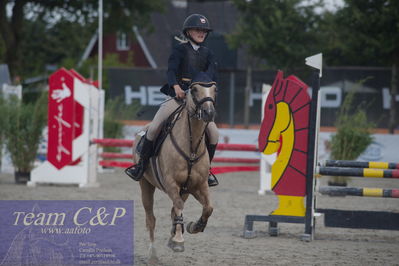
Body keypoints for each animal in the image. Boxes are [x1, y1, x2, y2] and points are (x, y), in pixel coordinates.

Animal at [132, 74, 217, 260]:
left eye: (215, 90)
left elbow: (208, 208)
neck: (191, 146)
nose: (209, 113)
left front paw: (194, 227)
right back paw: (153, 254)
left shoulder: (199, 186)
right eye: (194, 89)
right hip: (145, 184)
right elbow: (177, 206)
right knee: (151, 218)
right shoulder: (171, 183)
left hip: (185, 191)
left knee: (173, 210)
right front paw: (178, 240)